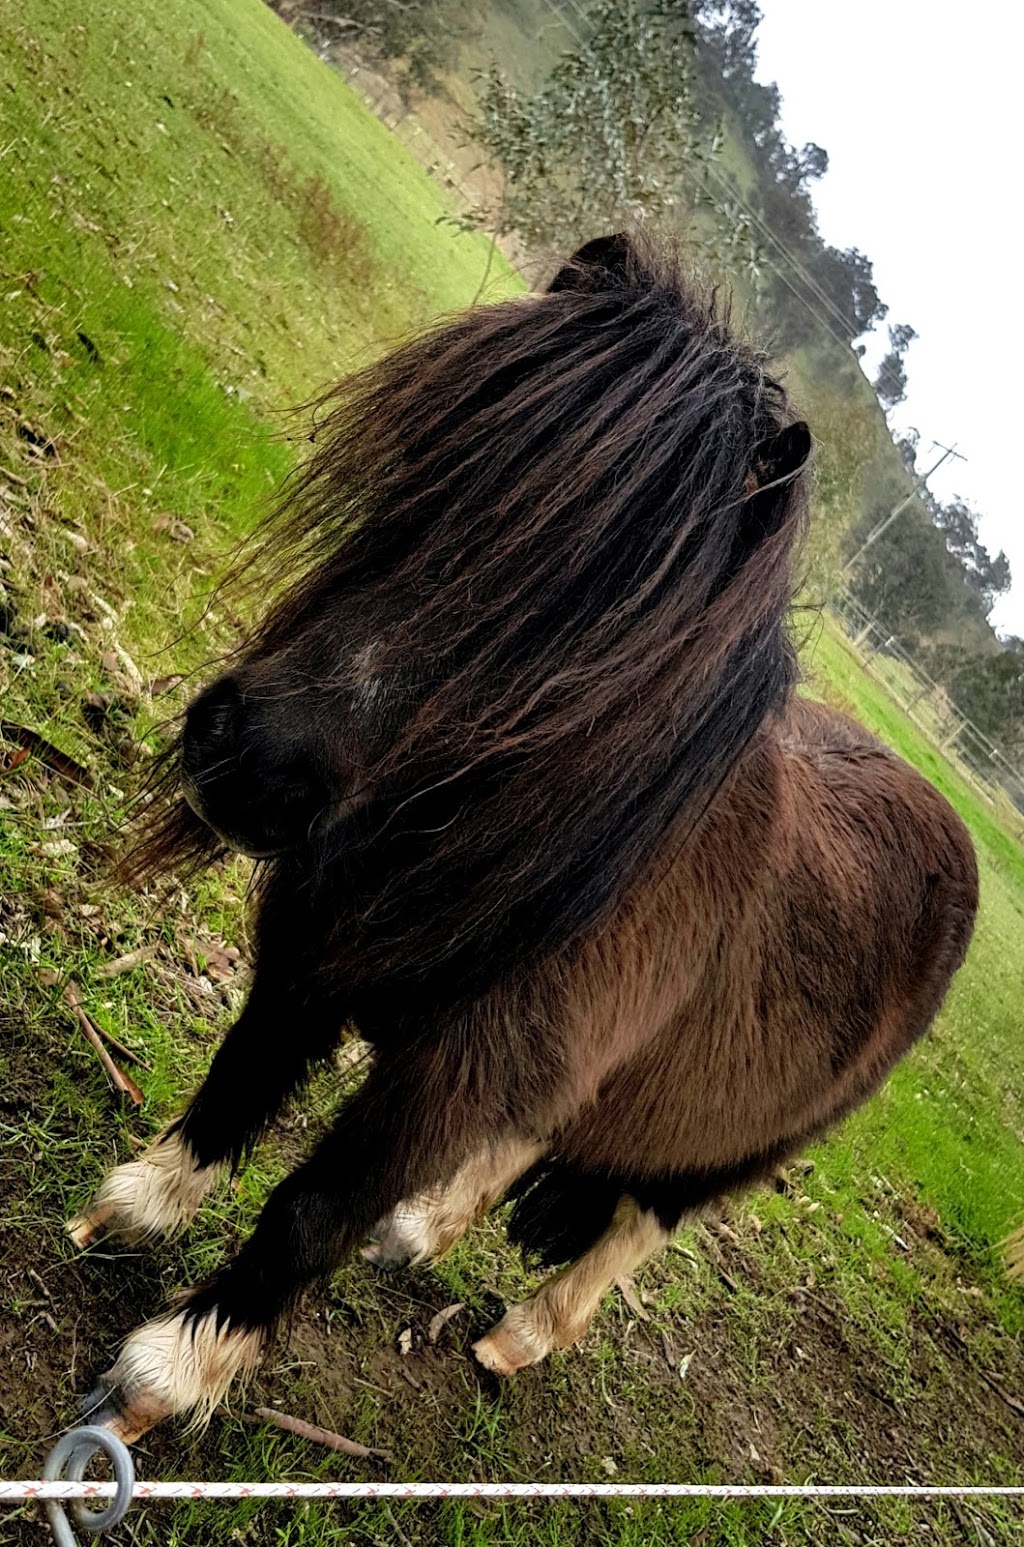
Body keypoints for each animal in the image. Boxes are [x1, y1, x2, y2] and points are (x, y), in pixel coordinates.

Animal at [68, 238, 983, 1435]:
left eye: (595, 626)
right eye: (432, 480)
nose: (245, 759)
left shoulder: (448, 1069)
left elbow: (315, 1205)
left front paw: (177, 1366)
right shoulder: (320, 945)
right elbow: (241, 1078)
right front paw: (138, 1204)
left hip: (738, 1146)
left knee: (639, 1220)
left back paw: (522, 1336)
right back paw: (425, 1228)